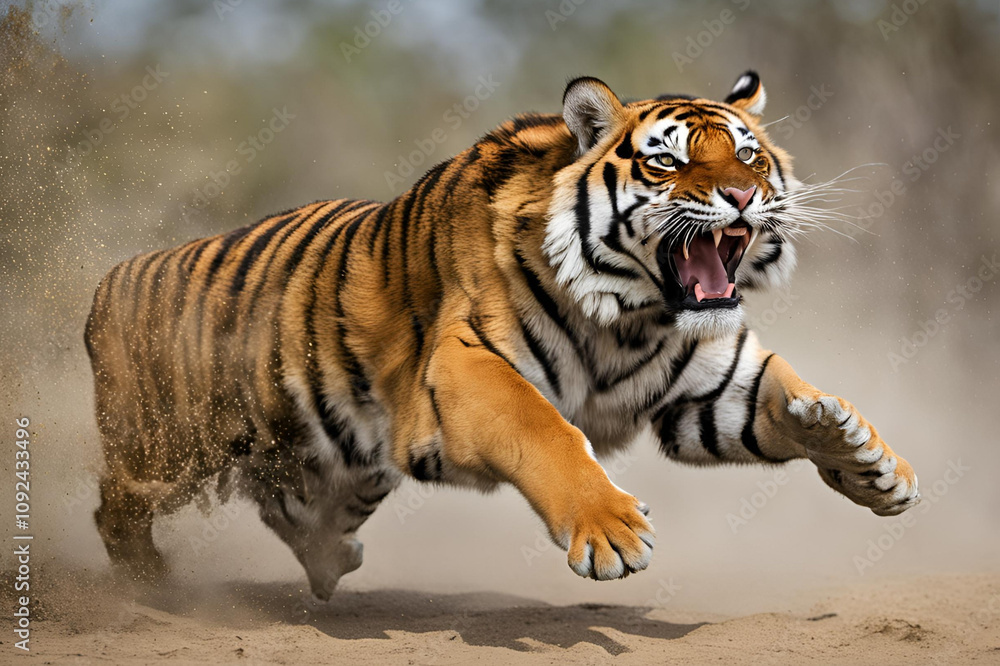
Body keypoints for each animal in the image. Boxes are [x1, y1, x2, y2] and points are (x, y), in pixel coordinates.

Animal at [85, 71, 920, 597]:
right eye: (666, 163)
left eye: (748, 155)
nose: (744, 195)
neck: (633, 316)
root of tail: (111, 278)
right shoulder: (465, 366)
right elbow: (546, 430)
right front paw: (612, 530)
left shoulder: (705, 389)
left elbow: (781, 395)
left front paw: (866, 456)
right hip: (165, 445)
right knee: (113, 505)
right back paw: (147, 590)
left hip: (345, 464)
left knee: (295, 513)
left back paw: (329, 562)